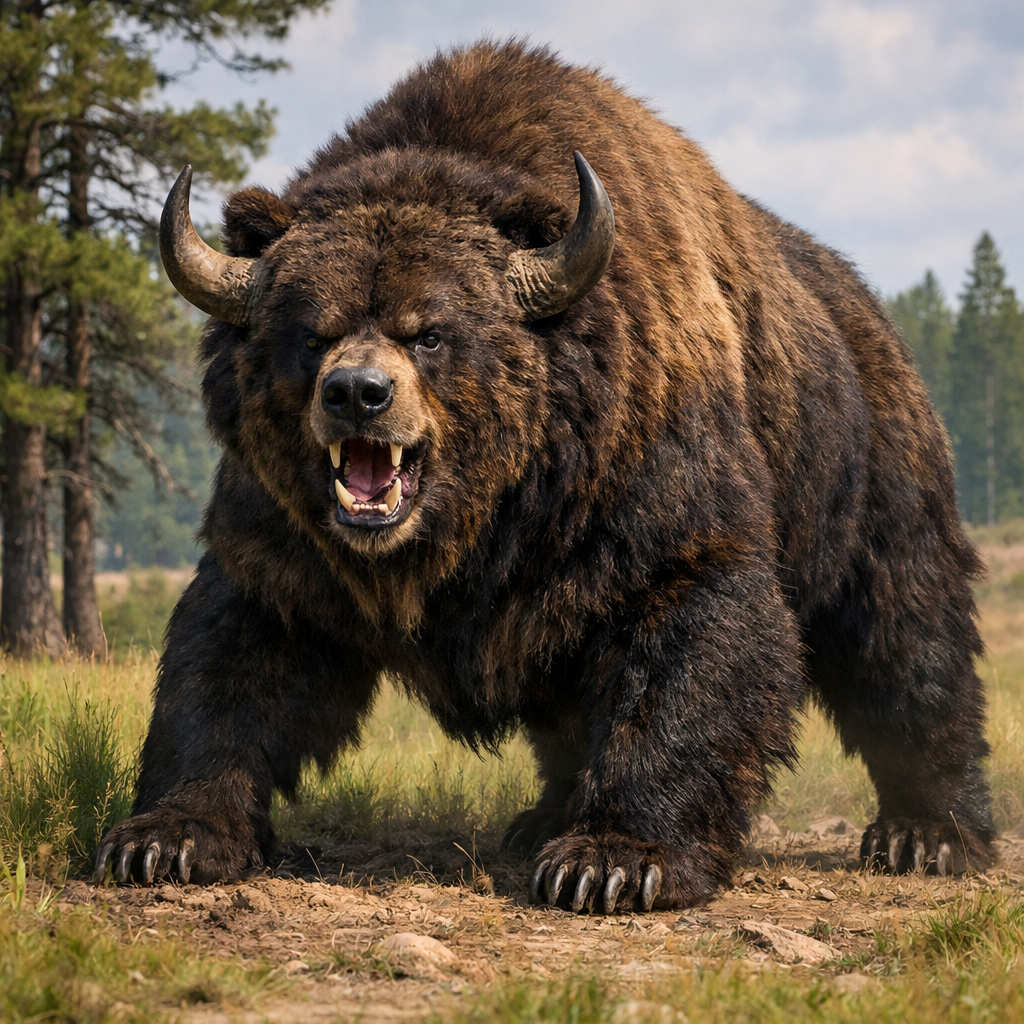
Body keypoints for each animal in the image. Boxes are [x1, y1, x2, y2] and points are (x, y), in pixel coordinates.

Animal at [95, 40, 994, 913]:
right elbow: (235, 658)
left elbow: (694, 640)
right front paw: (168, 837)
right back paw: (541, 816)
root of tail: (871, 310)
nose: (357, 394)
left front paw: (616, 860)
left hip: (870, 479)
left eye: (430, 331)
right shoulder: (288, 539)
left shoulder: (649, 495)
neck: (483, 520)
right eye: (310, 332)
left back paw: (929, 832)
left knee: (905, 638)